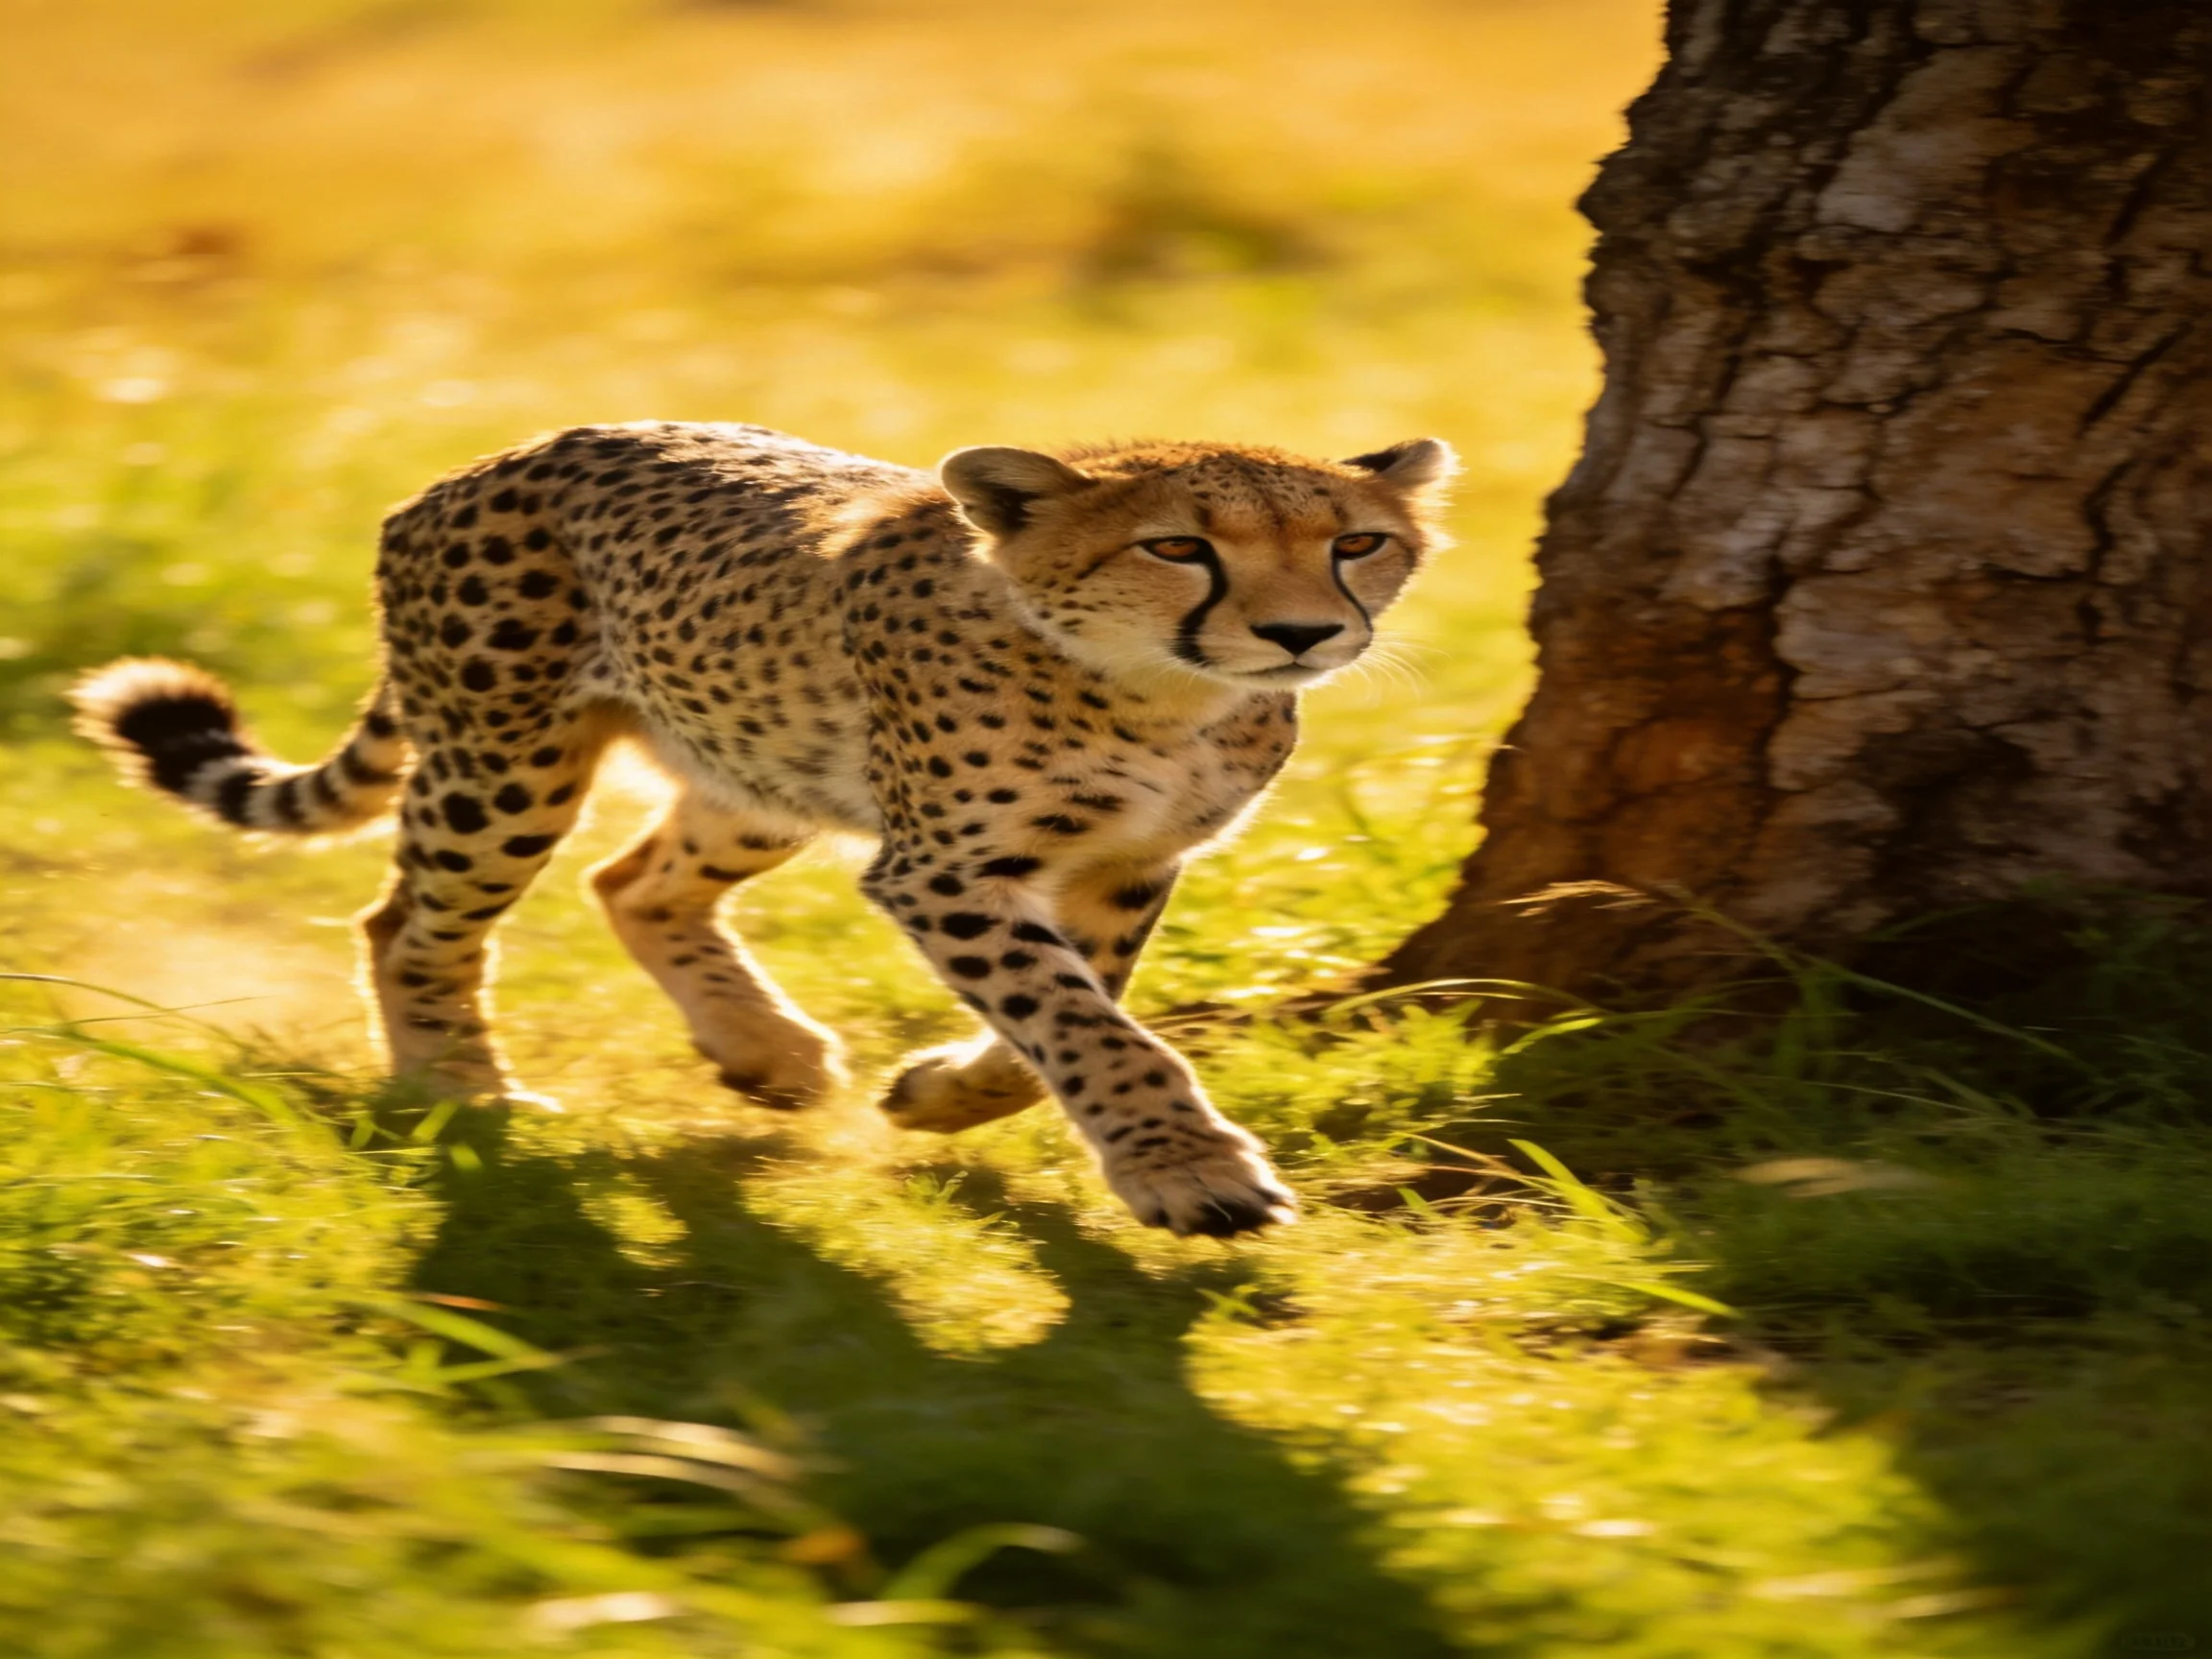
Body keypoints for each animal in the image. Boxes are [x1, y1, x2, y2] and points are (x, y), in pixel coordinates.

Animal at [72, 421, 1456, 1237]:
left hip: (757, 765)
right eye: (1177, 546)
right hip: (507, 764)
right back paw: (462, 1091)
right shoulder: (947, 867)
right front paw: (1189, 1169)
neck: (1160, 691)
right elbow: (1083, 1024)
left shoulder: (1125, 862)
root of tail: (499, 455)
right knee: (407, 916)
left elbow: (1071, 1017)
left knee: (635, 883)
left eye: (1357, 543)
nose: (1303, 634)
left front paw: (944, 1096)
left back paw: (764, 1051)